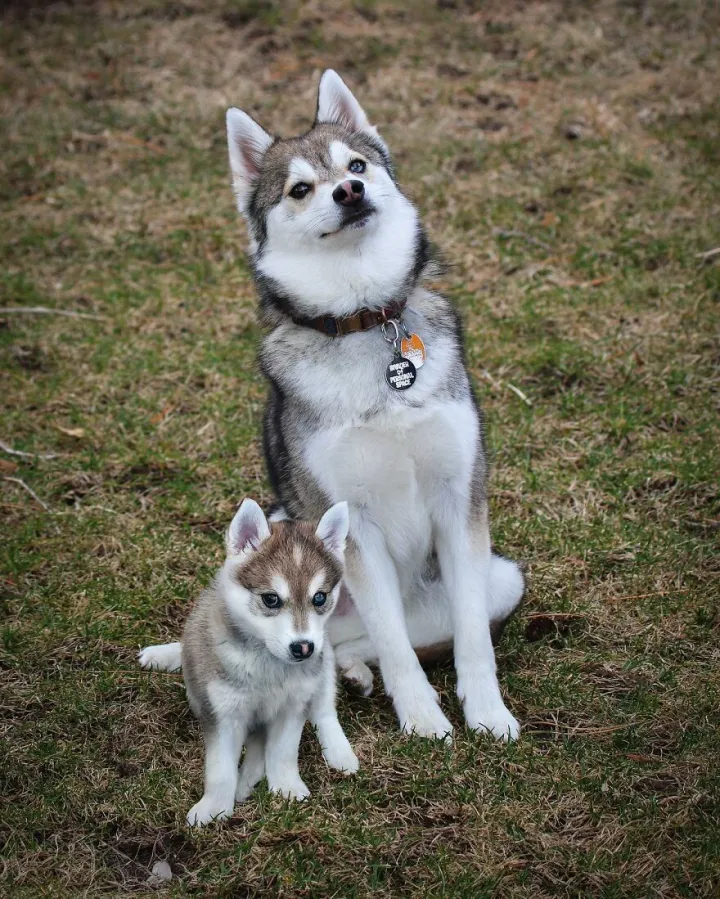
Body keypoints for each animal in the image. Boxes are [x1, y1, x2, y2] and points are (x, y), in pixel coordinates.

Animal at [140, 500, 358, 824]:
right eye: (271, 599)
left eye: (319, 598)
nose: (303, 648)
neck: (268, 663)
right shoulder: (223, 713)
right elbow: (220, 768)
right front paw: (214, 808)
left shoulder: (293, 705)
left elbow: (282, 751)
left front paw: (287, 788)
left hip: (324, 662)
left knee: (324, 710)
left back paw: (339, 753)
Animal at [143, 70, 524, 740]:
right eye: (299, 188)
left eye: (357, 165)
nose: (350, 191)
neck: (364, 320)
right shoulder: (353, 524)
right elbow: (395, 645)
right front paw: (423, 718)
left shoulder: (460, 497)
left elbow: (471, 637)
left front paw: (486, 712)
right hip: (277, 525)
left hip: (504, 578)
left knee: (359, 638)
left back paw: (349, 670)